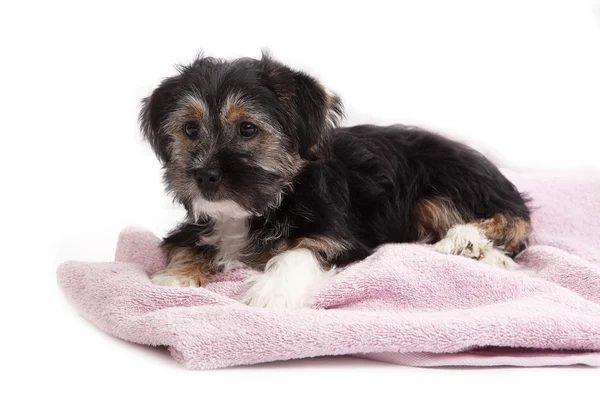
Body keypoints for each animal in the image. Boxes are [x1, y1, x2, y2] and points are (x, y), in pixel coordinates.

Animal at [139, 53, 528, 310]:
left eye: (247, 129)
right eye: (190, 129)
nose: (204, 175)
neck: (274, 198)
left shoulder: (340, 237)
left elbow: (300, 252)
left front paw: (271, 292)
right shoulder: (195, 226)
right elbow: (187, 245)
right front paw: (174, 278)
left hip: (440, 192)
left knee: (511, 222)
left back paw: (469, 242)